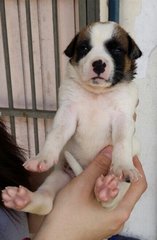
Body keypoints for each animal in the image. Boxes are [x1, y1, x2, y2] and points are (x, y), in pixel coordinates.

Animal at [2, 21, 142, 215]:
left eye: (116, 50)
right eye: (84, 48)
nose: (98, 64)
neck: (97, 94)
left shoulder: (123, 117)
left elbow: (122, 141)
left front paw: (123, 166)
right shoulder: (67, 112)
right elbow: (56, 134)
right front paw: (42, 157)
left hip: (119, 186)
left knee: (108, 204)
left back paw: (106, 191)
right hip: (60, 175)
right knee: (46, 202)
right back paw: (22, 199)